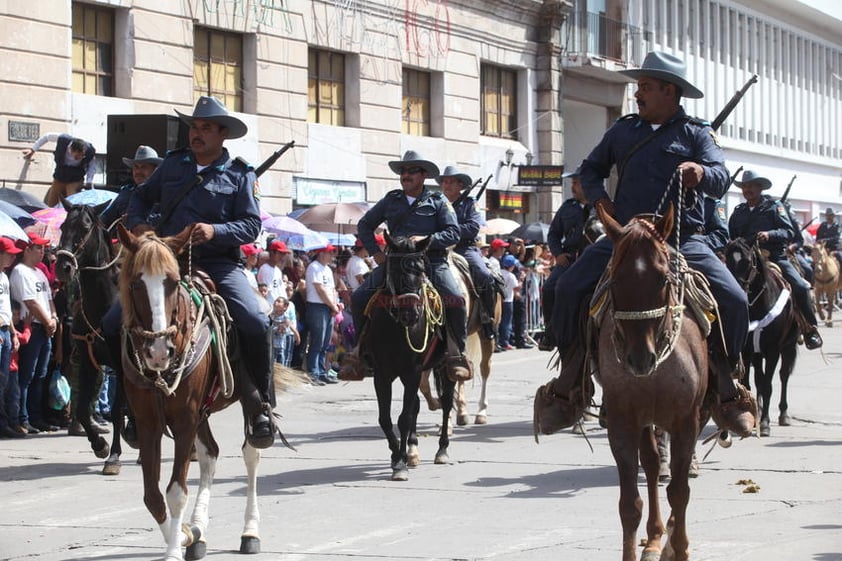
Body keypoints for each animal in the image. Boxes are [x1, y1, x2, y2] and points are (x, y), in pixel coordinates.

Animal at [55, 199, 130, 474]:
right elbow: (81, 409)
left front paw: (114, 456)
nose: (63, 266)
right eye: (63, 225)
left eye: (85, 227)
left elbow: (118, 410)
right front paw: (100, 445)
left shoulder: (121, 366)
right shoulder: (88, 362)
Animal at [114, 225, 272, 560]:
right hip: (202, 413)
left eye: (173, 282)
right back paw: (199, 530)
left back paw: (250, 531)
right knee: (210, 454)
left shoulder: (185, 419)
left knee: (251, 453)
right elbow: (152, 495)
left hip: (244, 404)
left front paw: (175, 547)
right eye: (136, 283)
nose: (159, 351)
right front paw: (187, 534)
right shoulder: (150, 423)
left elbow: (176, 492)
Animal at [362, 234, 452, 480]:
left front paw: (400, 463)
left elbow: (403, 418)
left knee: (447, 403)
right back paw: (412, 450)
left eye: (421, 271)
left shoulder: (412, 372)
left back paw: (442, 449)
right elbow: (386, 418)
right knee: (417, 406)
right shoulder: (382, 374)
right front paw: (397, 456)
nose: (411, 314)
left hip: (445, 366)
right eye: (394, 270)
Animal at [592, 205, 704, 560]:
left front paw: (680, 548)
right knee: (653, 466)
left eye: (663, 278)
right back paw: (655, 537)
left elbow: (680, 492)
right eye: (615, 279)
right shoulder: (623, 423)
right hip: (645, 421)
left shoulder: (686, 422)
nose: (640, 359)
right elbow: (630, 504)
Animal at [720, 238, 796, 436]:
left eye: (747, 261)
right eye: (727, 259)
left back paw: (783, 414)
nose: (736, 292)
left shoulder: (773, 350)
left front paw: (765, 423)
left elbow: (768, 385)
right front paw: (752, 418)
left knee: (783, 376)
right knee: (759, 379)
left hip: (788, 346)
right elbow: (748, 384)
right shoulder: (747, 351)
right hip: (756, 354)